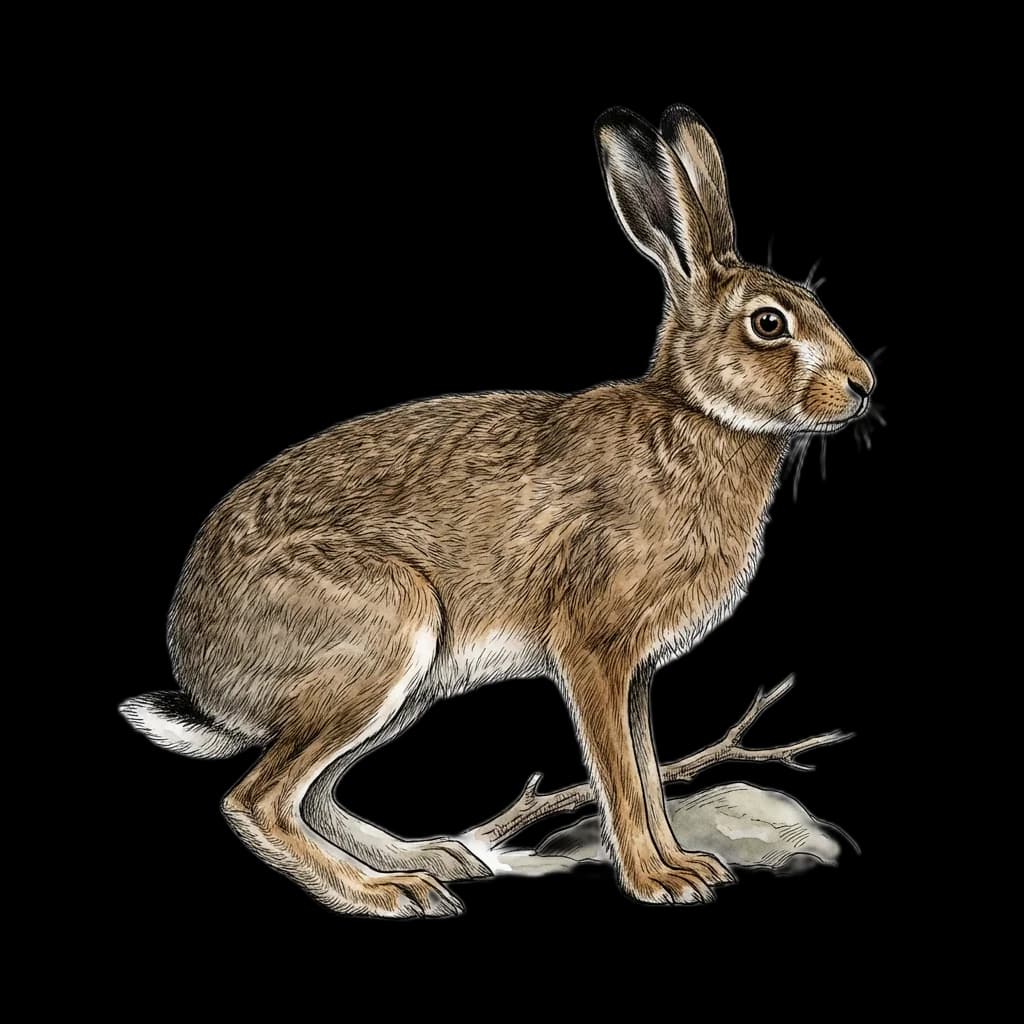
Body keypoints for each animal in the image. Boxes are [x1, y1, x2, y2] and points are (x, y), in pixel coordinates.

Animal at [120, 104, 875, 918]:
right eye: (769, 324)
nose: (864, 385)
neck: (696, 417)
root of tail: (203, 674)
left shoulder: (637, 674)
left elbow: (646, 770)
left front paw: (688, 865)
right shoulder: (593, 652)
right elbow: (620, 778)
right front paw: (657, 881)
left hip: (402, 685)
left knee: (312, 794)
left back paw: (432, 859)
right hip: (382, 634)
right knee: (258, 799)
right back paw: (387, 892)